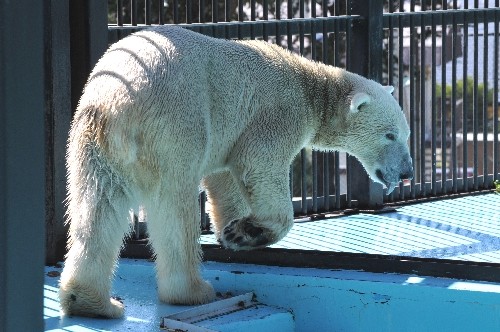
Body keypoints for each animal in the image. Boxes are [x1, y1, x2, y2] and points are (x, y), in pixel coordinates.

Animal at [59, 25, 410, 316]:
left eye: (406, 134)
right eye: (389, 135)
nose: (406, 172)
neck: (310, 84)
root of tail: (117, 103)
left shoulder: (229, 136)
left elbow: (223, 178)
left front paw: (233, 230)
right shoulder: (277, 112)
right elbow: (260, 165)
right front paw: (248, 232)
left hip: (92, 143)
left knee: (97, 208)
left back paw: (92, 301)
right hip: (175, 124)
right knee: (174, 206)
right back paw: (192, 291)